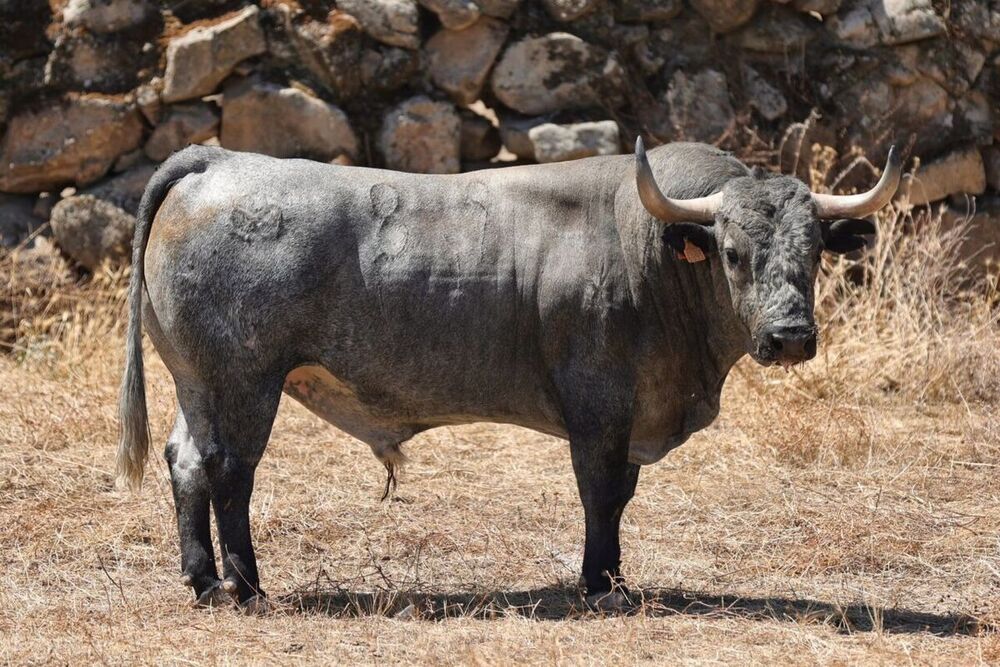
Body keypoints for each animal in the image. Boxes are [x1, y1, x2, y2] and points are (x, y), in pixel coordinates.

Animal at [115, 140, 900, 612]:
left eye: (815, 252)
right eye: (734, 252)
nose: (790, 336)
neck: (645, 250)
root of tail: (215, 160)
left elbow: (620, 497)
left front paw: (612, 575)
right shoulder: (599, 409)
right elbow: (600, 495)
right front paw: (599, 582)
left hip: (198, 383)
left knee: (187, 460)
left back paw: (202, 577)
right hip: (245, 382)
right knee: (229, 472)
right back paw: (246, 584)